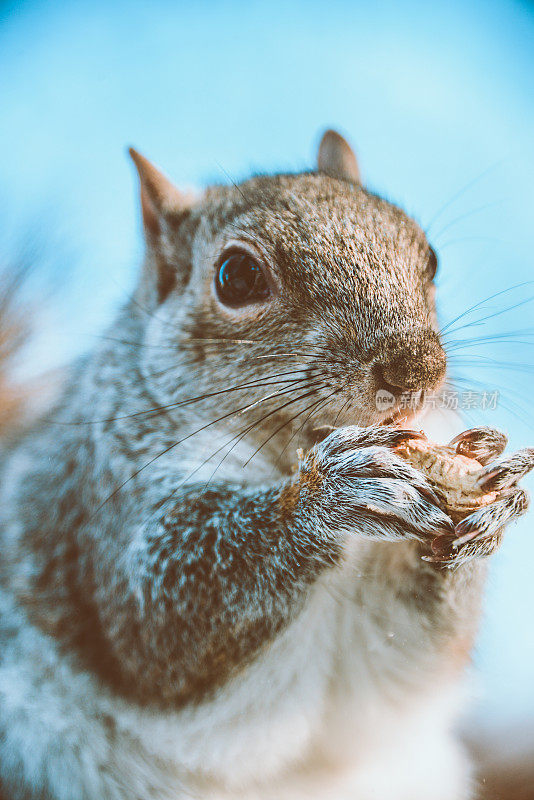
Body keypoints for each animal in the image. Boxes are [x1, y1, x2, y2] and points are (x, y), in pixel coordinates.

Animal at [1, 131, 534, 800]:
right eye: (236, 277)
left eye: (431, 258)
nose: (415, 369)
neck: (289, 453)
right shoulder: (104, 498)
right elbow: (151, 621)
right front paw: (327, 496)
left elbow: (411, 661)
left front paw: (490, 508)